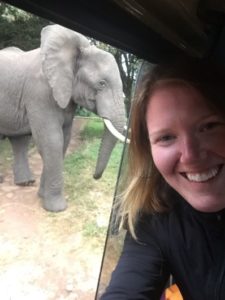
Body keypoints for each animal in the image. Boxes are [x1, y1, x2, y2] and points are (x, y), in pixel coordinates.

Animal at [0, 24, 126, 212]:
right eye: (101, 84)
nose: (95, 176)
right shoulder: (39, 93)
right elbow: (52, 140)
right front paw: (57, 209)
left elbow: (64, 139)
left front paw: (42, 197)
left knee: (20, 140)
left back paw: (26, 183)